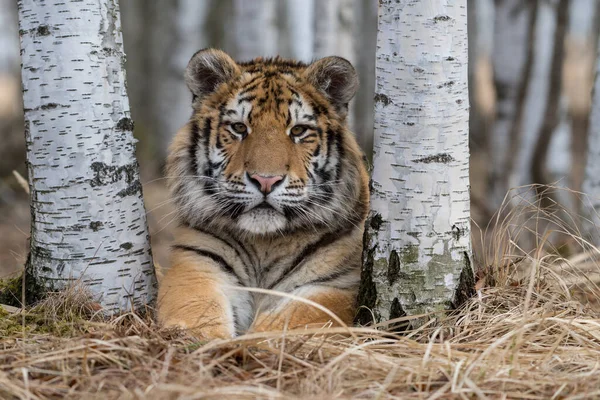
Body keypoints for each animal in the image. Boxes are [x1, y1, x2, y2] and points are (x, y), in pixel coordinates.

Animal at [157, 48, 368, 340]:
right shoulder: (196, 264)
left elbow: (290, 321)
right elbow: (196, 313)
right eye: (238, 127)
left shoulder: (338, 286)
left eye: (298, 130)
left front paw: (253, 343)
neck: (265, 244)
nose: (265, 180)